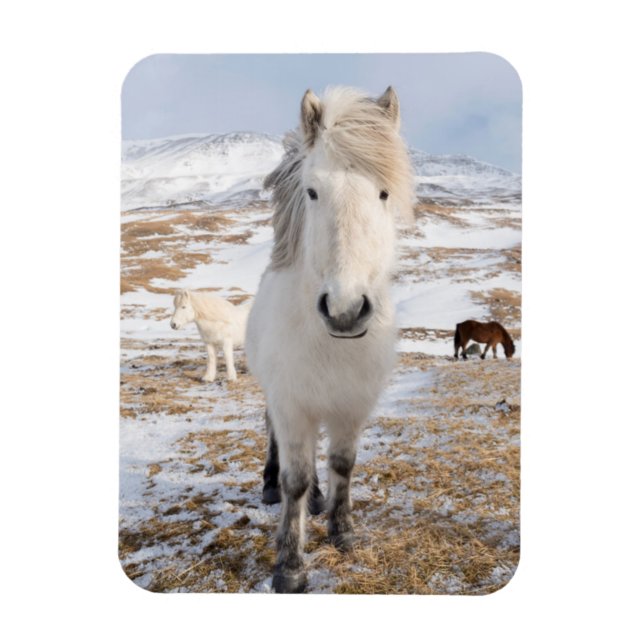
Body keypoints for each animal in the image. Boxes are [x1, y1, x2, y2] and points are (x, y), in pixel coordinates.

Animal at [245, 86, 415, 593]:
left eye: (383, 192)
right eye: (313, 191)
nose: (345, 309)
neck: (332, 343)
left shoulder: (351, 406)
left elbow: (342, 464)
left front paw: (343, 531)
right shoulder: (291, 405)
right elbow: (295, 480)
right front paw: (290, 566)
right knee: (276, 445)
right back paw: (270, 486)